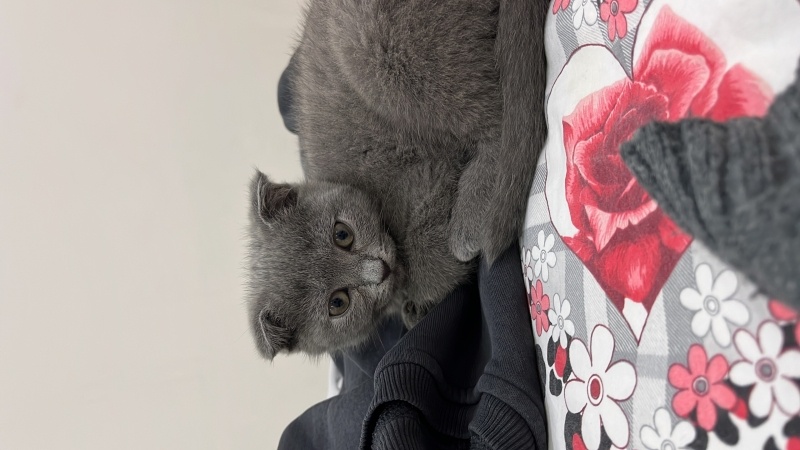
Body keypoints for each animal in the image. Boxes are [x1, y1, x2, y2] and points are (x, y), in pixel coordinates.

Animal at [250, 0, 548, 360]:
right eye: (338, 303)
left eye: (342, 234)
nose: (378, 269)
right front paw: (412, 307)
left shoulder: (425, 177)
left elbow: (427, 249)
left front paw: (426, 285)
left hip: (377, 49)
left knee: (496, 117)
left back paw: (470, 222)